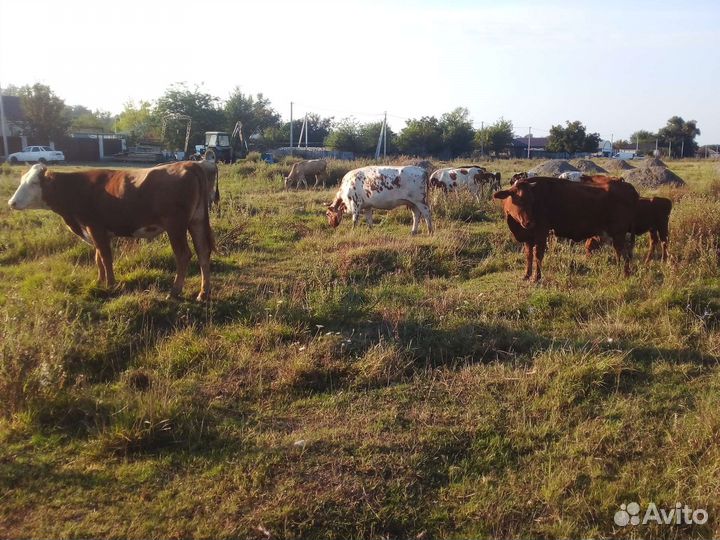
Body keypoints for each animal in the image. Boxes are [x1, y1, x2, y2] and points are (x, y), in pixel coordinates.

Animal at [8, 162, 215, 301]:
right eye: (22, 180)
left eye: (34, 183)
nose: (11, 202)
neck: (76, 190)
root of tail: (188, 164)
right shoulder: (95, 231)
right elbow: (98, 257)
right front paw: (99, 282)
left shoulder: (95, 227)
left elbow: (106, 257)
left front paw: (111, 285)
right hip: (196, 221)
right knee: (203, 252)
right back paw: (203, 293)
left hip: (175, 226)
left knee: (183, 255)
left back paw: (175, 291)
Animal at [493, 177, 639, 281]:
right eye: (520, 200)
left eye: (532, 200)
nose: (530, 222)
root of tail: (628, 187)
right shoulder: (528, 237)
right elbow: (528, 256)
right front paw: (526, 275)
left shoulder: (541, 233)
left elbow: (538, 255)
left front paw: (536, 278)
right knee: (621, 253)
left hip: (618, 234)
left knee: (624, 254)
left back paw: (625, 274)